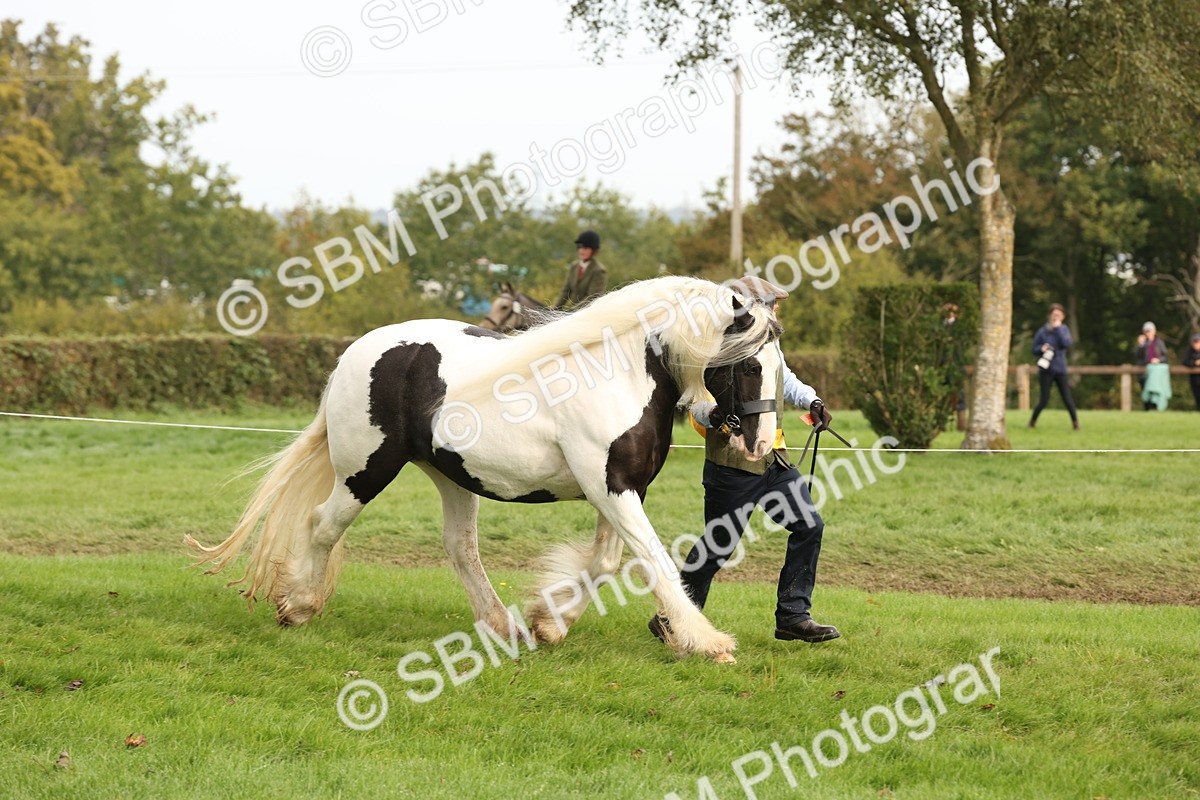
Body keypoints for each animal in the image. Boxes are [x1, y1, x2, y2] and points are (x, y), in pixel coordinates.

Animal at [185, 276, 784, 664]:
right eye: (747, 363)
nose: (759, 445)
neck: (617, 373)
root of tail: (358, 351)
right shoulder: (611, 489)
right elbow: (653, 561)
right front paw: (706, 641)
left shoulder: (617, 490)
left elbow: (606, 563)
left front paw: (549, 623)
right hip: (367, 470)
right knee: (321, 525)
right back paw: (298, 607)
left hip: (450, 475)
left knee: (459, 547)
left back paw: (505, 626)